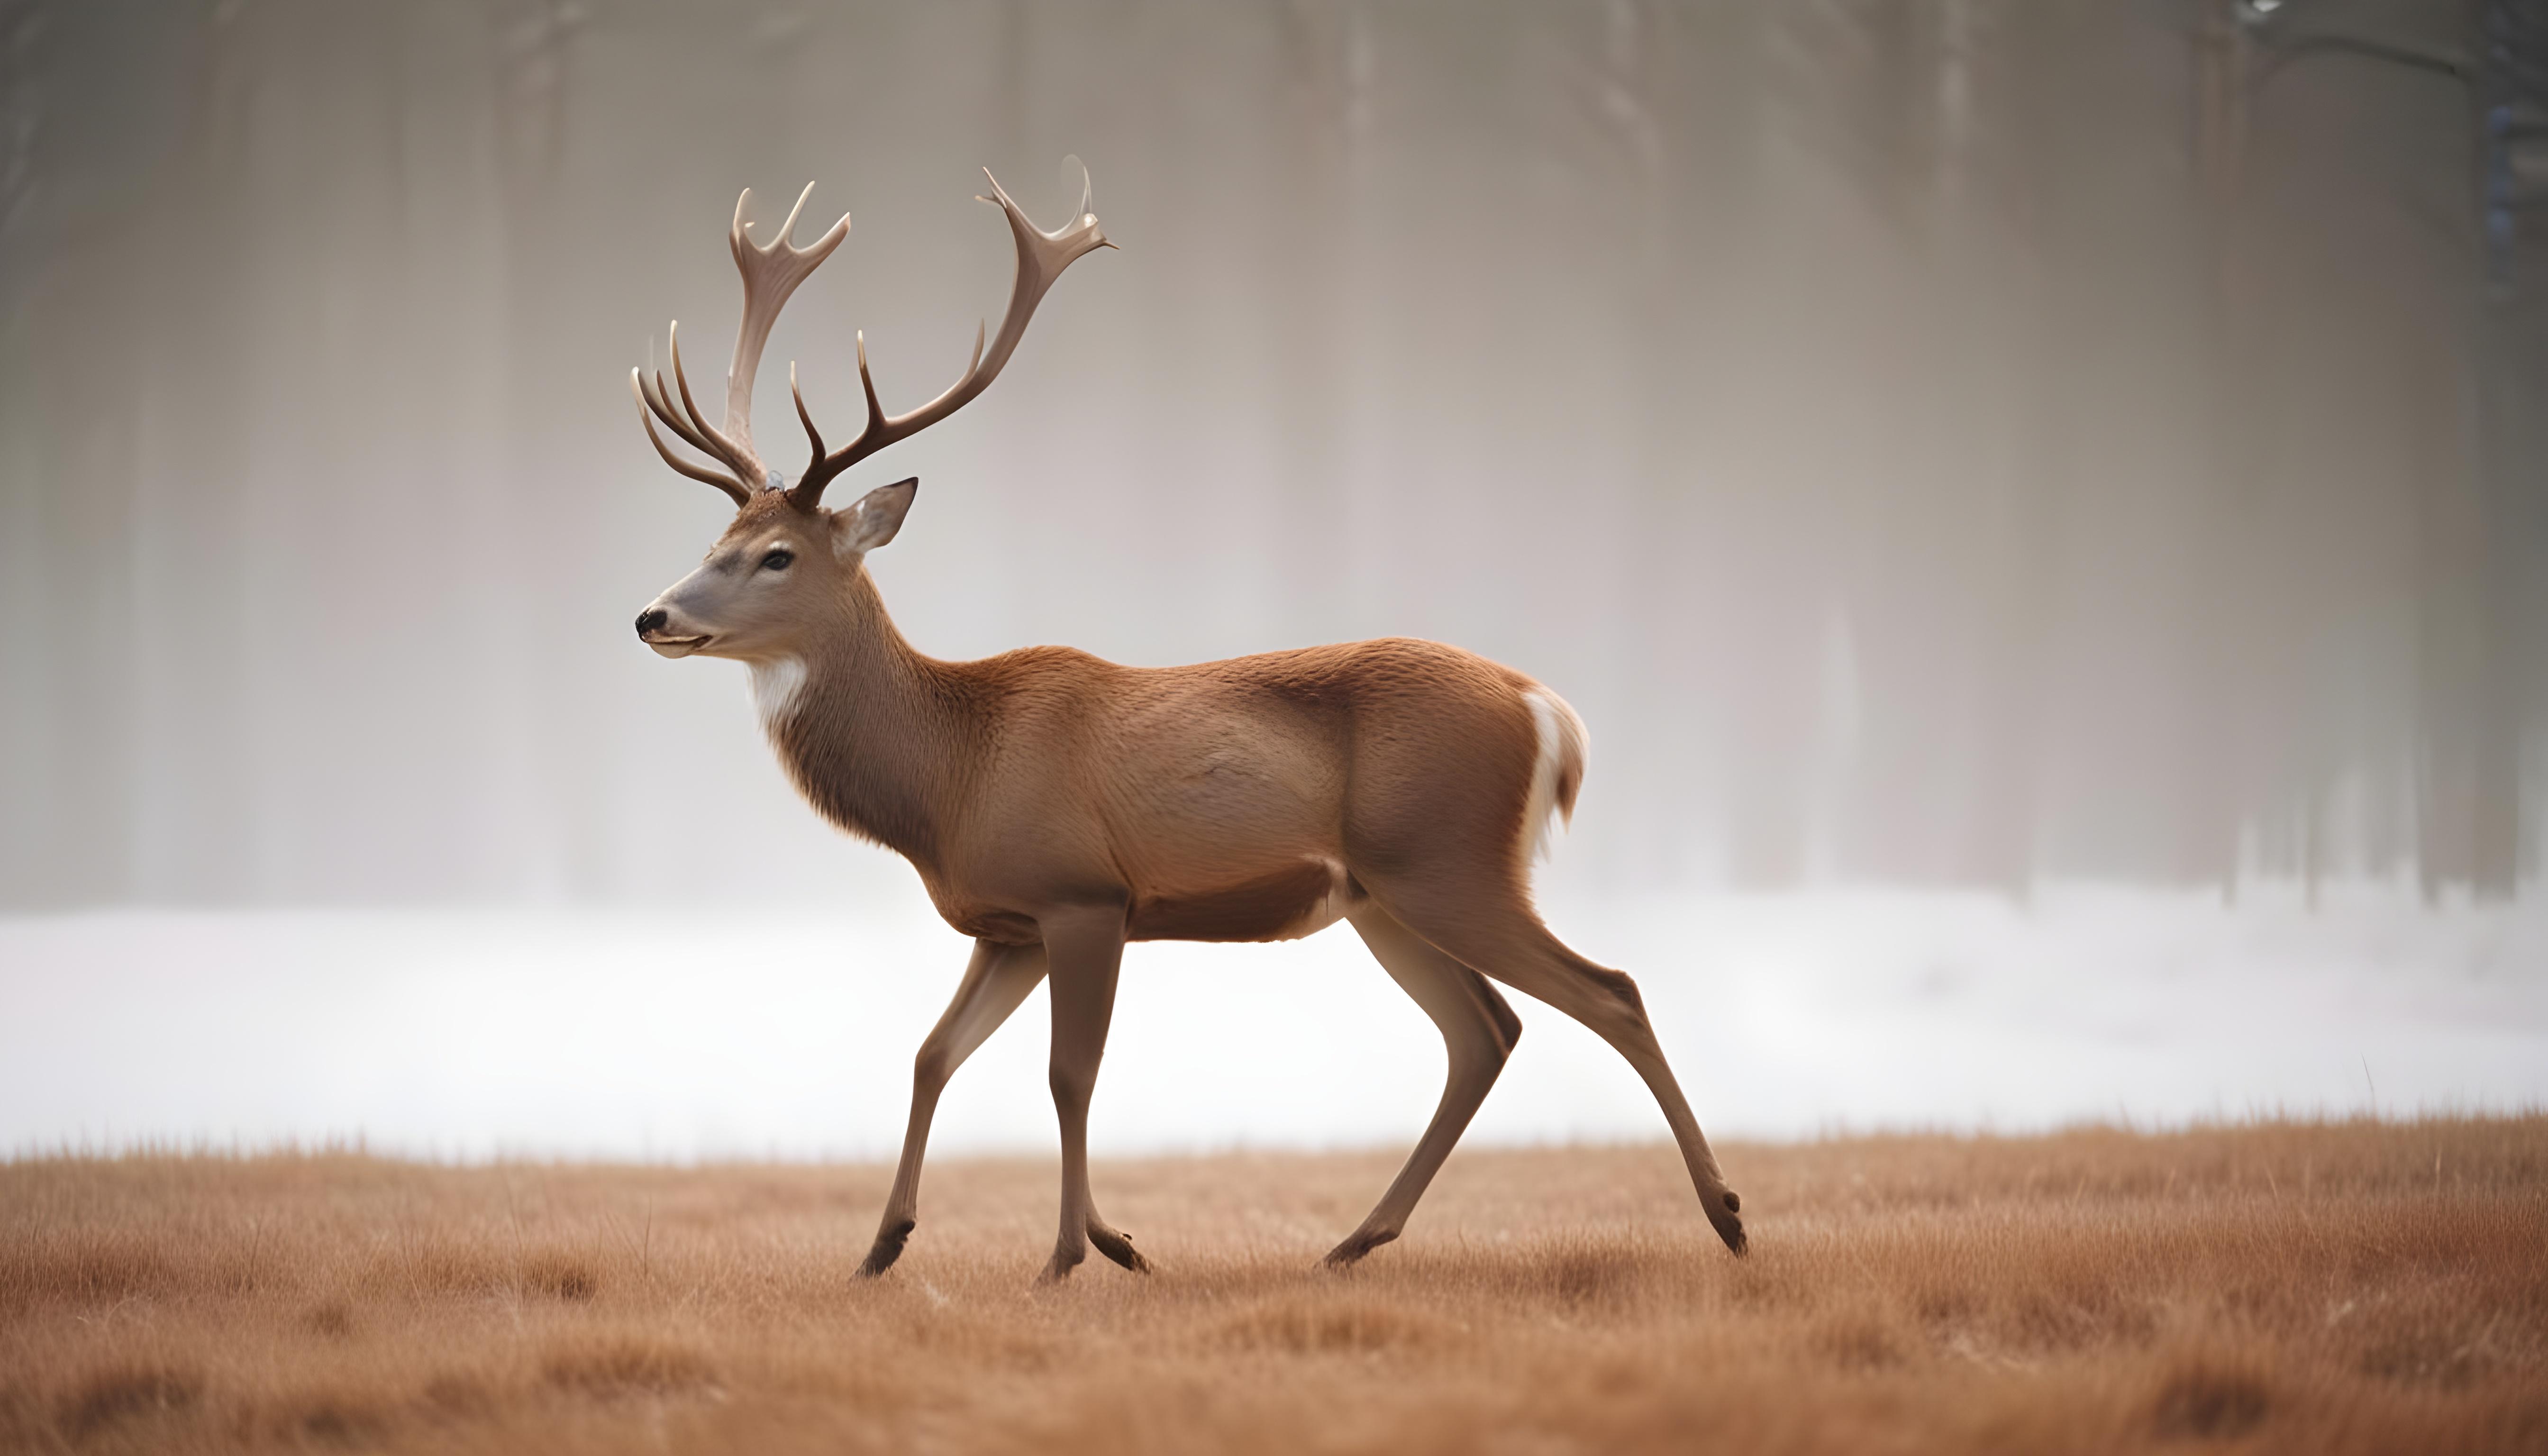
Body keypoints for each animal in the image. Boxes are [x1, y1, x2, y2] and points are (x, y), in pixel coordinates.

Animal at [628, 164, 1746, 1283]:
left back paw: (1727, 1215)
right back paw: (1355, 1240)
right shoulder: (1008, 922)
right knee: (1485, 1032)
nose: (653, 616)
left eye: (777, 555)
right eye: (716, 539)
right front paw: (896, 1247)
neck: (950, 777)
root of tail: (1544, 709)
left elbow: (1068, 1075)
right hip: (1384, 893)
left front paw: (1068, 1256)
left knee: (1610, 990)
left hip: (1450, 860)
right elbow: (932, 1053)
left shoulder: (1083, 893)